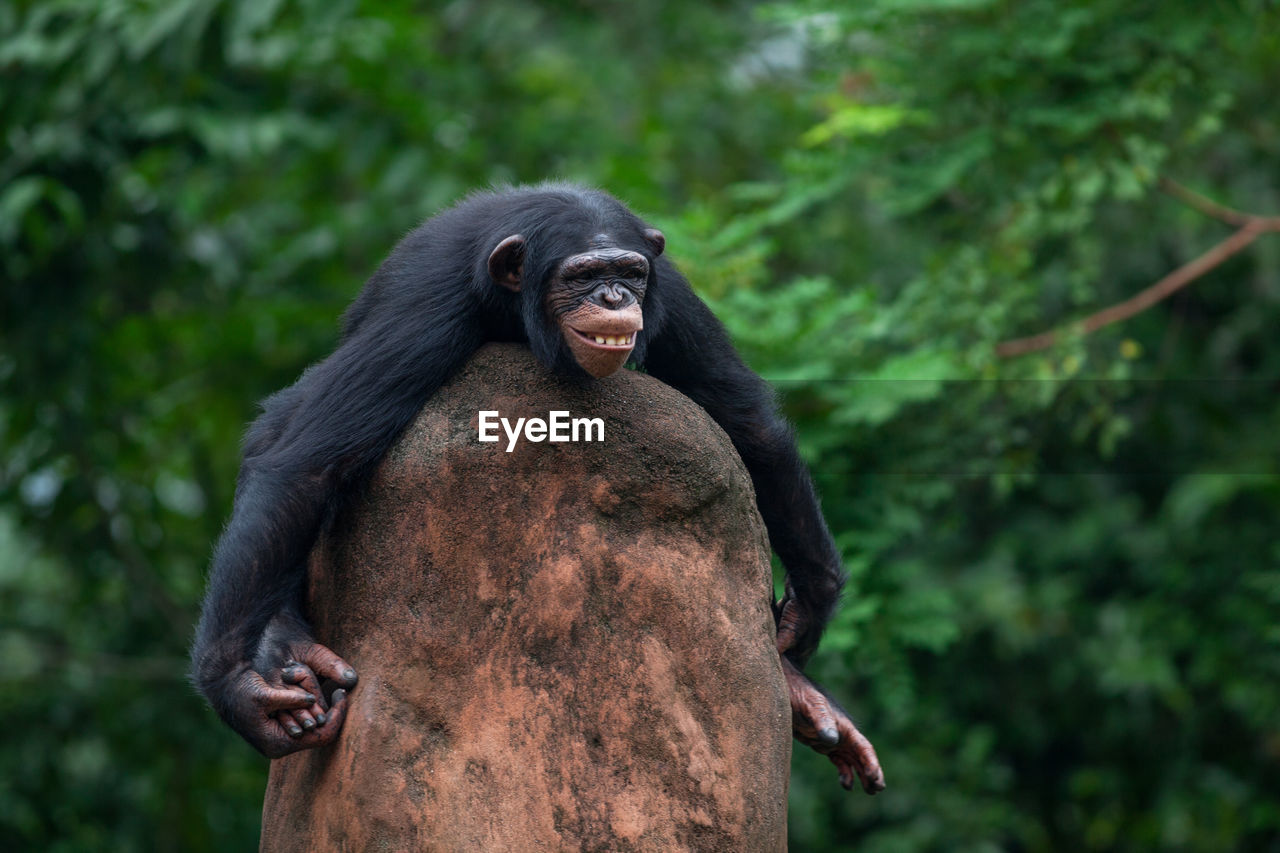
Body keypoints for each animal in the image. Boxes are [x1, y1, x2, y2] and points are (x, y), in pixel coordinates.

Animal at [192, 183, 890, 794]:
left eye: (630, 272)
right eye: (582, 276)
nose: (614, 295)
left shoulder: (674, 292)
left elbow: (750, 424)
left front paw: (811, 603)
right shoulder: (423, 310)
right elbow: (307, 463)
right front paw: (239, 692)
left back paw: (797, 693)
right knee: (282, 427)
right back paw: (286, 645)